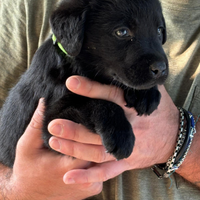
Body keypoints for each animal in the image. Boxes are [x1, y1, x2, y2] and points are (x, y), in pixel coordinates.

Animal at [0, 0, 168, 167]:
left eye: (159, 30)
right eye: (122, 32)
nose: (161, 69)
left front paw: (146, 93)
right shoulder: (52, 127)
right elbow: (94, 103)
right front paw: (120, 132)